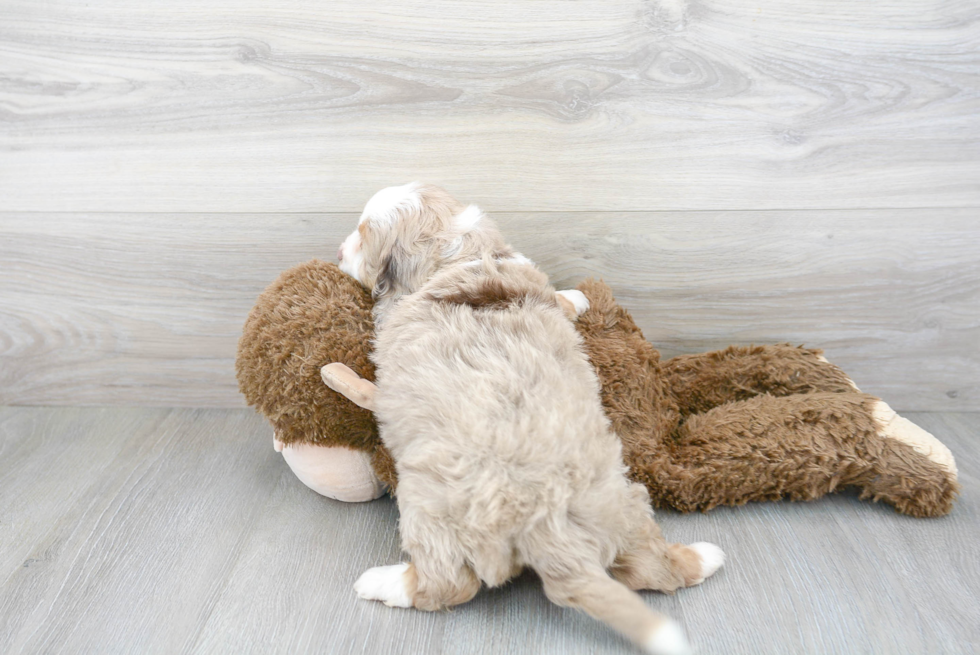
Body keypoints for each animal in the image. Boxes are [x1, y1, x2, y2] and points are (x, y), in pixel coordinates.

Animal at [340, 183, 724, 655]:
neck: (461, 252)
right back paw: (705, 558)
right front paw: (578, 297)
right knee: (652, 569)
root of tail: (544, 517)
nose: (338, 251)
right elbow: (557, 296)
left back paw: (381, 583)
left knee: (447, 584)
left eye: (362, 238)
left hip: (429, 507)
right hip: (619, 500)